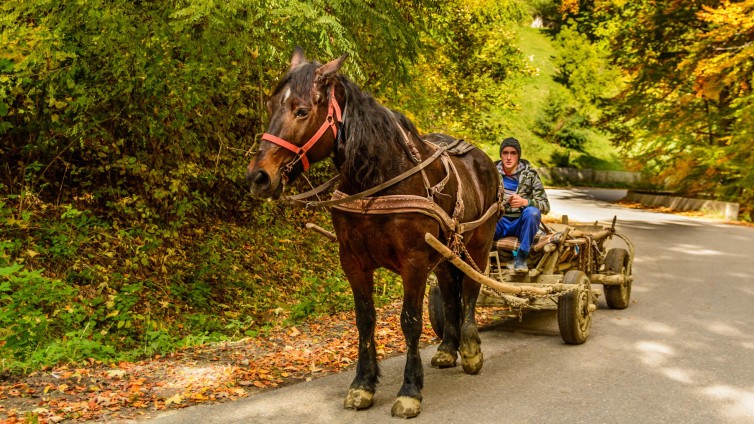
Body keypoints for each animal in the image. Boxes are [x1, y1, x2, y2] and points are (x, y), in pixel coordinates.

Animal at [247, 48, 500, 420]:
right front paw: (363, 385)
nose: (258, 177)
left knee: (469, 290)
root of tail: (482, 158)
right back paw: (448, 348)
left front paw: (410, 390)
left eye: (302, 110)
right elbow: (365, 320)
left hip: (479, 245)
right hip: (444, 253)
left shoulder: (413, 262)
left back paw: (469, 349)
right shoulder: (353, 261)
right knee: (450, 291)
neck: (379, 178)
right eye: (270, 105)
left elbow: (410, 321)